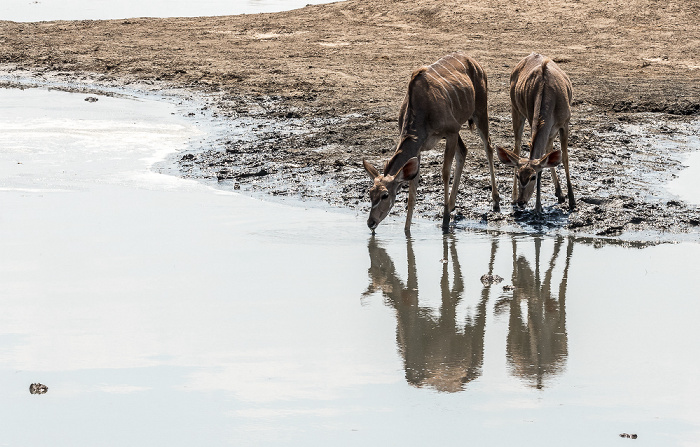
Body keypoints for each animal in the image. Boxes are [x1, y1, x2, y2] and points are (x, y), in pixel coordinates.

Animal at [364, 53, 500, 234]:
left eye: (385, 195)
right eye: (370, 193)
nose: (371, 222)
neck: (421, 109)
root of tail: (474, 62)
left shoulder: (451, 131)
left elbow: (445, 172)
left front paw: (445, 220)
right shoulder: (419, 148)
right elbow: (413, 189)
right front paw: (407, 230)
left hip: (480, 111)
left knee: (488, 146)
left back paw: (495, 201)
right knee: (464, 151)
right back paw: (452, 204)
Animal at [494, 52, 572, 214]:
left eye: (533, 177)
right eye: (518, 175)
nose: (521, 202)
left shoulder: (565, 123)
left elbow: (564, 158)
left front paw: (572, 202)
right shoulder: (532, 119)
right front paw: (538, 207)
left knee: (549, 151)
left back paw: (560, 194)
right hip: (516, 110)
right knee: (517, 148)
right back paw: (514, 197)